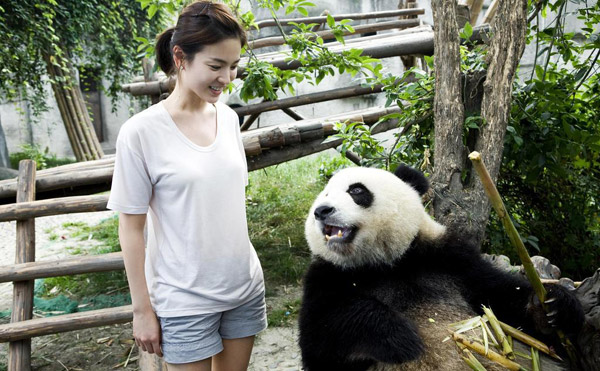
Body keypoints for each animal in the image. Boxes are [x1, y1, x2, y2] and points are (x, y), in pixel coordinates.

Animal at [300, 166, 584, 371]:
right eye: (324, 195)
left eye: (356, 190)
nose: (321, 211)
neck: (386, 262)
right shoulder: (326, 277)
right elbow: (321, 336)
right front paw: (399, 336)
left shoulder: (450, 260)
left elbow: (504, 301)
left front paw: (552, 306)